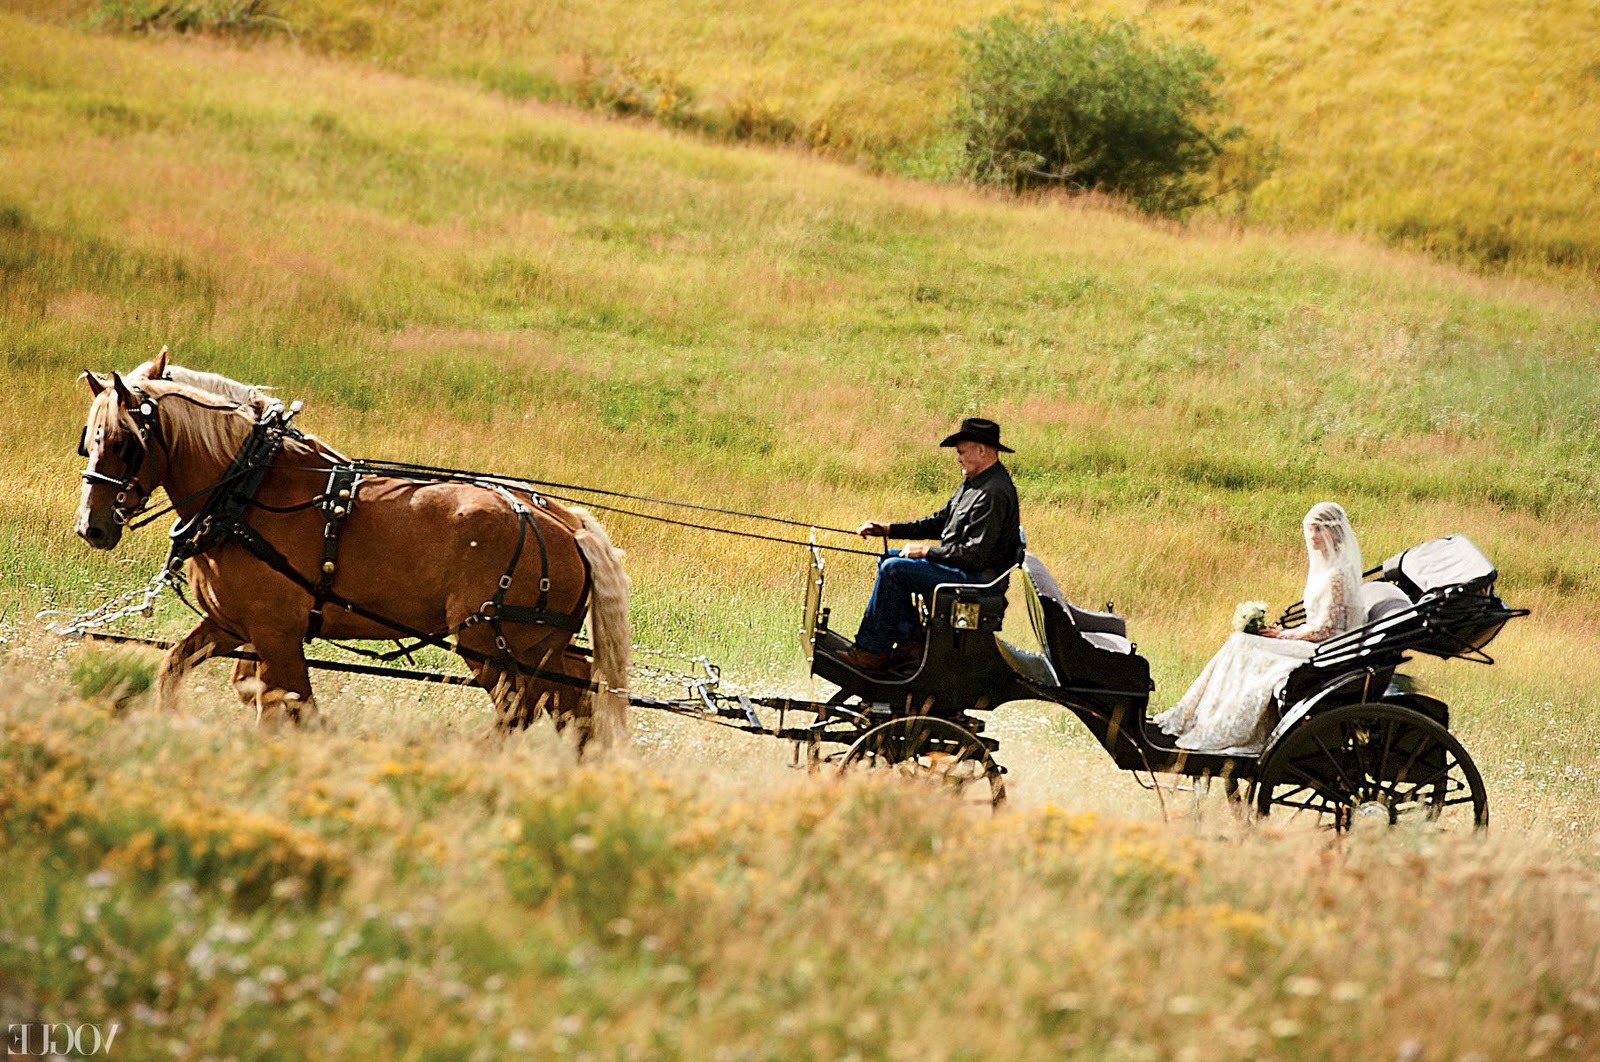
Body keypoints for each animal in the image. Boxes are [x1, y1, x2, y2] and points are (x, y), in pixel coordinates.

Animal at [72, 350, 630, 745]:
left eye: (123, 442)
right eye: (88, 439)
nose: (90, 527)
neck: (246, 487)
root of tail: (565, 523)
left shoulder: (275, 631)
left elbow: (287, 703)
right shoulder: (231, 624)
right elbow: (182, 672)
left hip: (489, 643)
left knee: (520, 712)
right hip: (538, 647)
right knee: (573, 704)